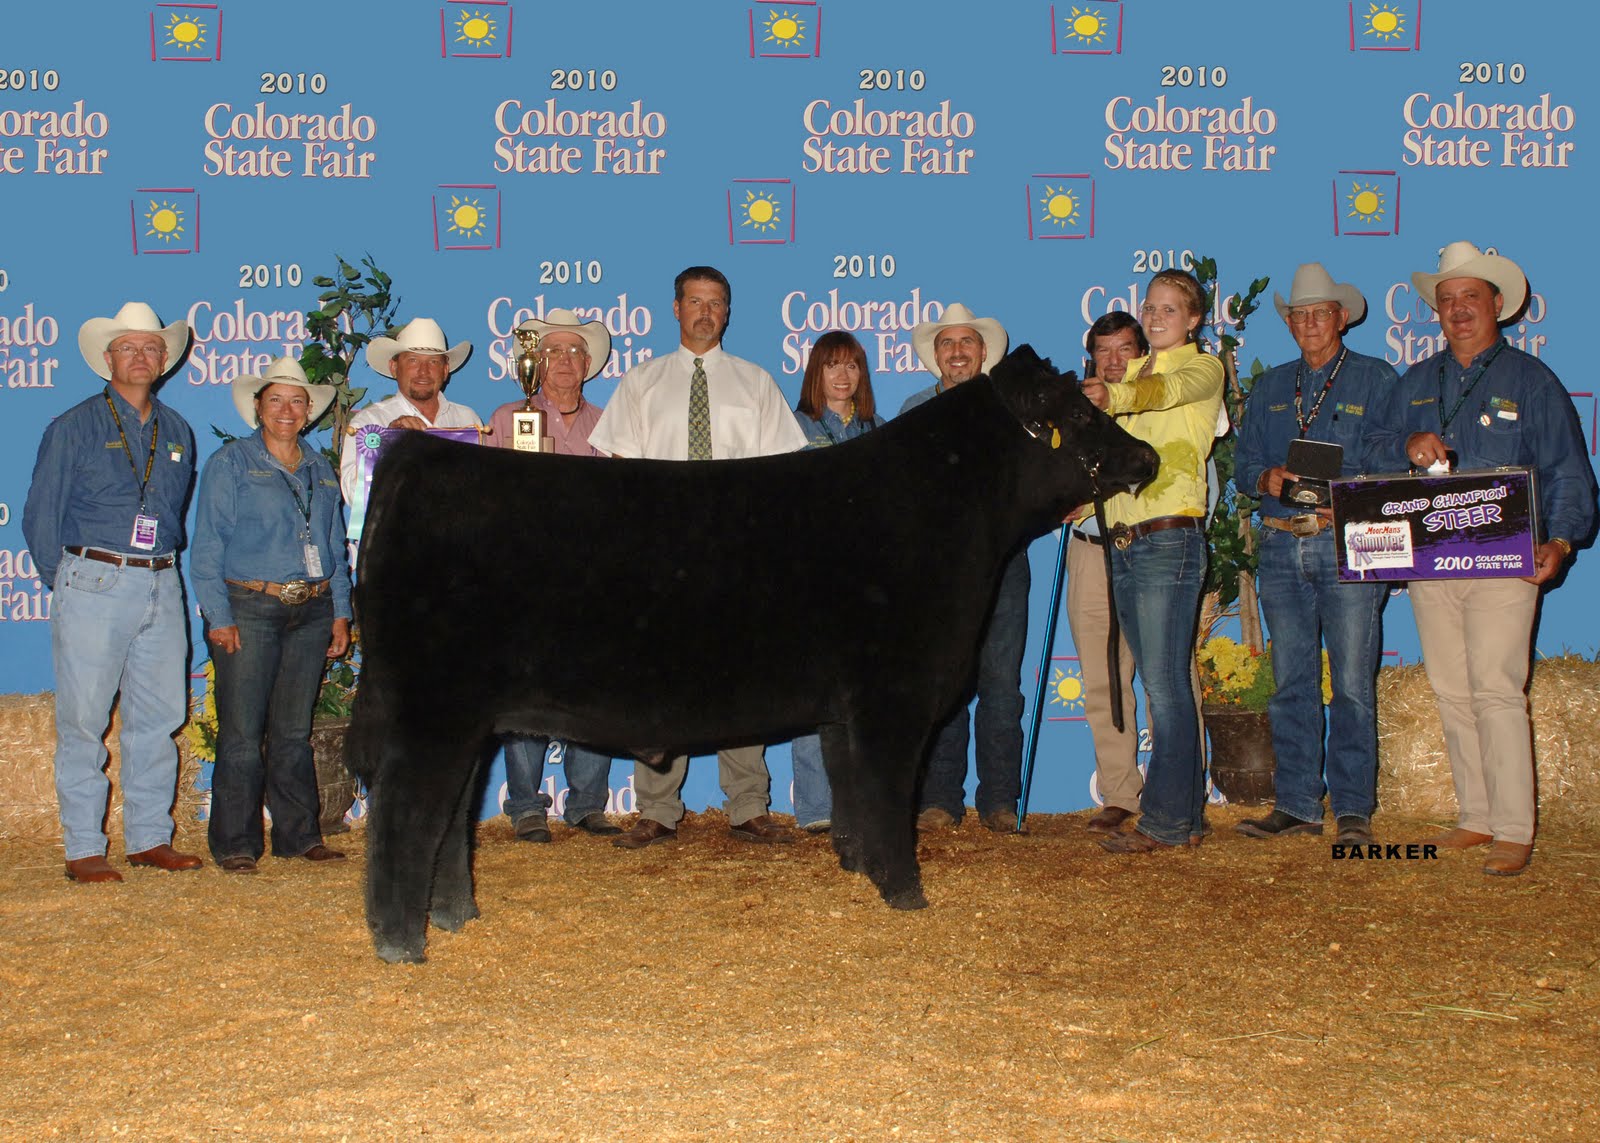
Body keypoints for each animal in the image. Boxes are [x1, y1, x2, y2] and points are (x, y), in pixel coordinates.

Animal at [347, 345, 1158, 962]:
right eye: (1079, 413)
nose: (1147, 456)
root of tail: (416, 455)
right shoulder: (892, 700)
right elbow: (888, 797)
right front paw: (906, 893)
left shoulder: (844, 711)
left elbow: (852, 793)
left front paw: (858, 869)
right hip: (434, 712)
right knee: (403, 816)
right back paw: (401, 943)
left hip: (465, 720)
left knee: (448, 817)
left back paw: (456, 918)